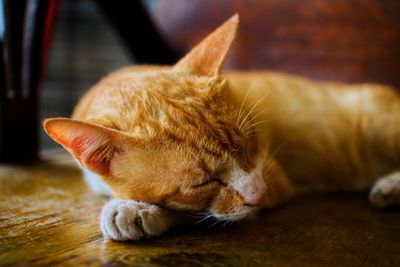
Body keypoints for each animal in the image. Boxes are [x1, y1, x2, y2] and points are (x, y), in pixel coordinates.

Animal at [43, 14, 400, 241]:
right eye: (204, 182)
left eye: (251, 145)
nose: (260, 194)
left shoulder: (273, 178)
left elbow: (203, 215)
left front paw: (135, 211)